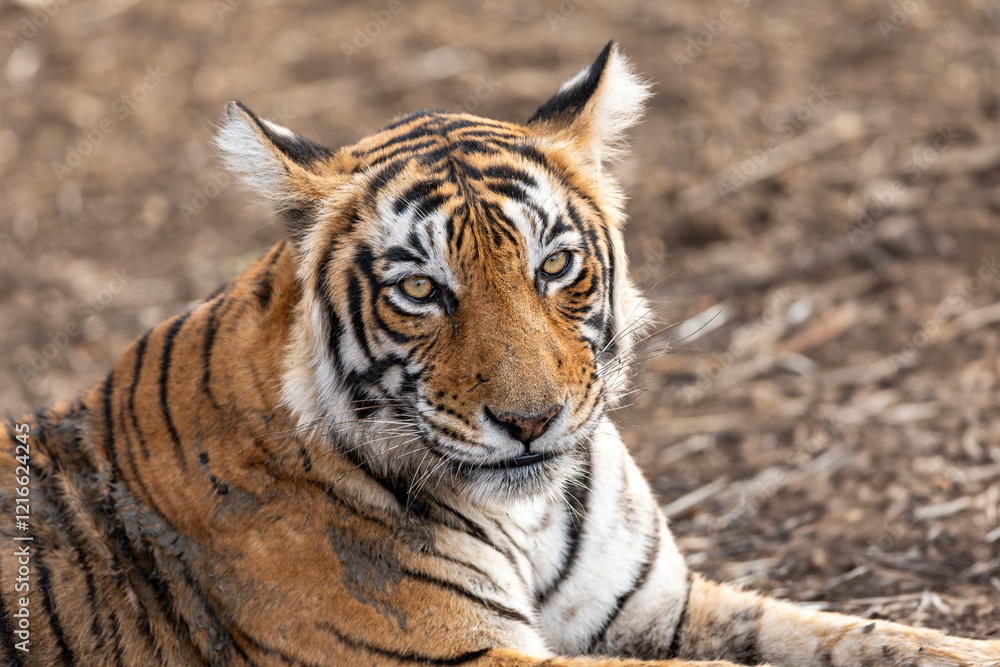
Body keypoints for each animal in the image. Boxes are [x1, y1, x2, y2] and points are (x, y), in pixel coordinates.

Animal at [1, 41, 998, 667]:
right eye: (419, 291)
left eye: (554, 266)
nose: (530, 421)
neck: (532, 516)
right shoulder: (458, 654)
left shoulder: (662, 607)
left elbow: (860, 635)